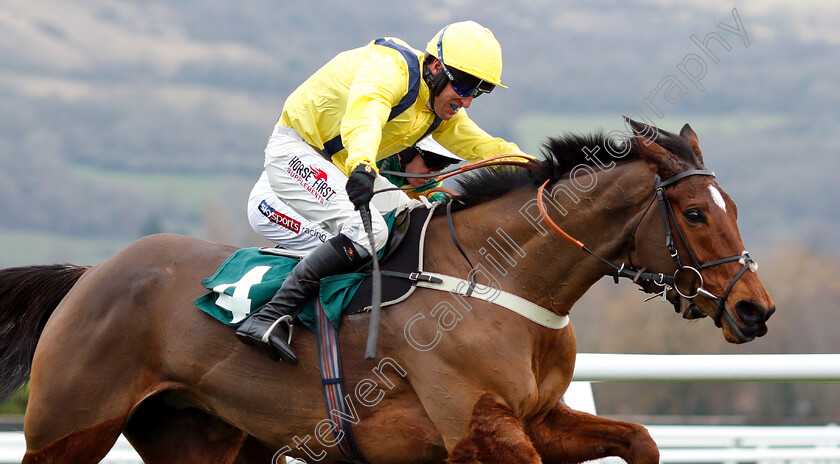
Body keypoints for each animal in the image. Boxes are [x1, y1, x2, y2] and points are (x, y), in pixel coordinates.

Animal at [0, 120, 776, 464]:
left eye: (734, 205)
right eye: (696, 213)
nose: (755, 308)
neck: (501, 281)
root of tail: (89, 275)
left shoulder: (541, 419)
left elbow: (639, 439)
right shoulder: (479, 426)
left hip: (198, 434)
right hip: (70, 427)